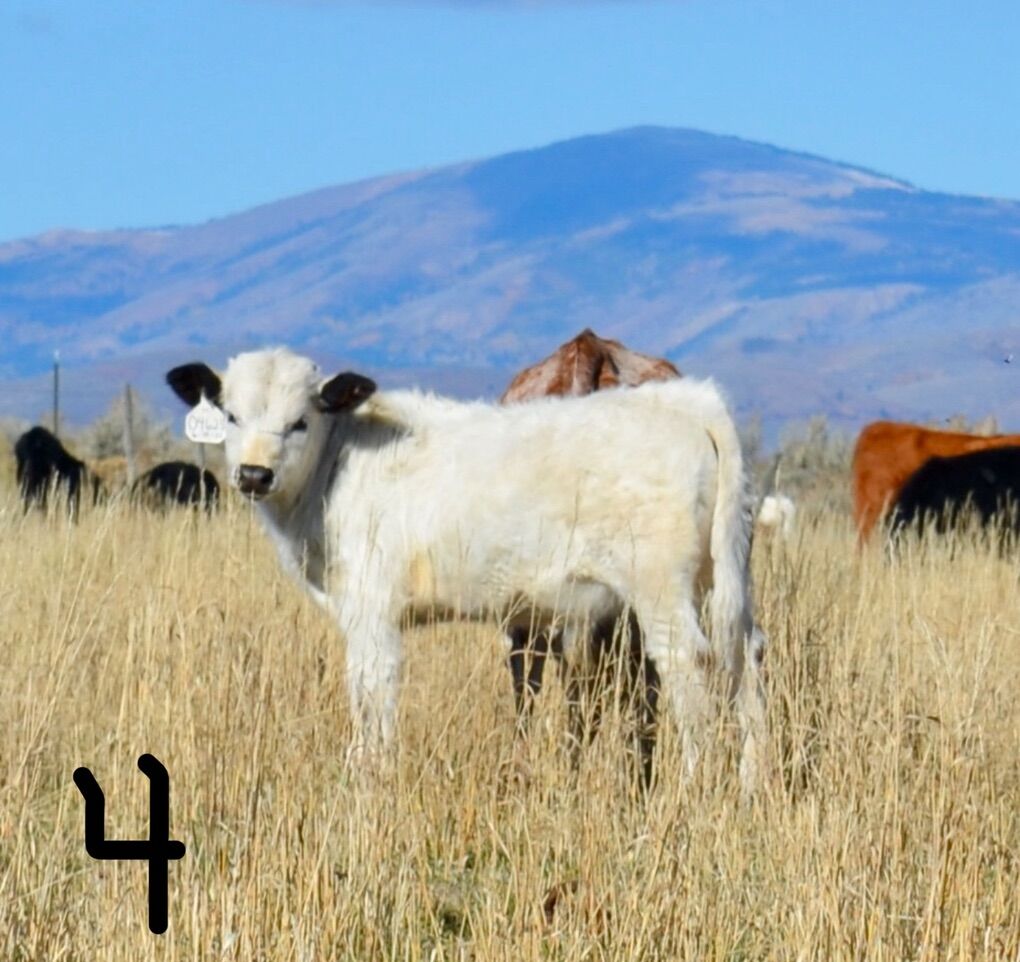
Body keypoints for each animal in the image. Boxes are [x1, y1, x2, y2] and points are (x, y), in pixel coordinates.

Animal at [166, 347, 766, 793]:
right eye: (232, 416)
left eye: (300, 421)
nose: (253, 473)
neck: (336, 466)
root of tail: (686, 401)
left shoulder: (372, 611)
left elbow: (371, 691)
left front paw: (369, 781)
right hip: (723, 577)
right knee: (746, 656)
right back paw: (750, 783)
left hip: (659, 590)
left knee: (689, 667)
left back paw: (690, 788)